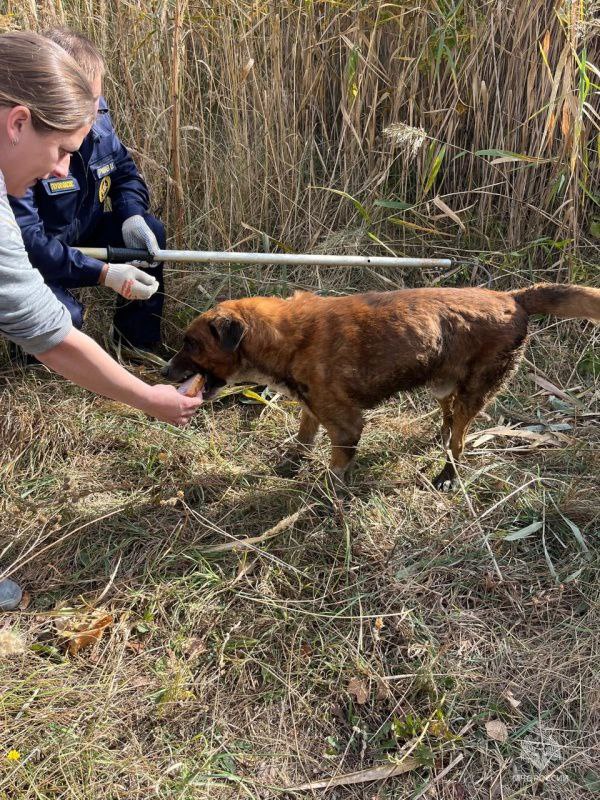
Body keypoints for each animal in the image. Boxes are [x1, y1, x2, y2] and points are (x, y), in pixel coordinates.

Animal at [163, 284, 600, 490]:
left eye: (191, 343)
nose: (165, 372)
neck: (286, 336)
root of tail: (513, 298)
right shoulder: (312, 407)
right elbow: (303, 438)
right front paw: (291, 464)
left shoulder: (346, 426)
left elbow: (336, 466)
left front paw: (324, 495)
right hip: (444, 386)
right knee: (448, 422)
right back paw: (438, 438)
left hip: (474, 391)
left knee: (459, 441)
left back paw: (447, 474)